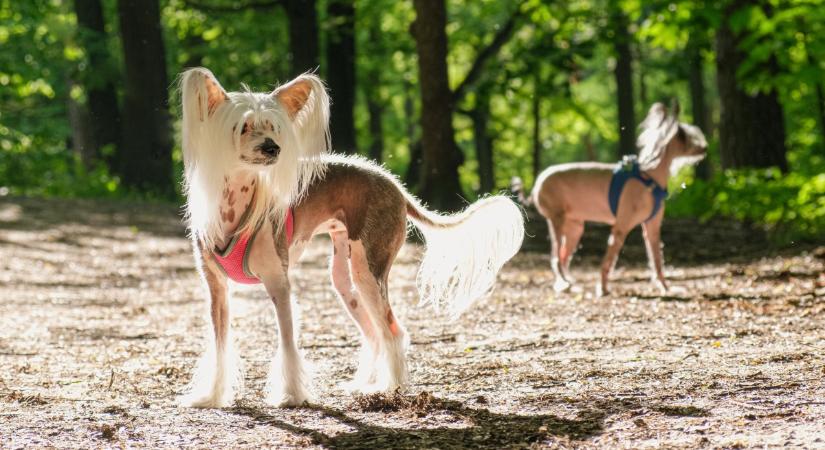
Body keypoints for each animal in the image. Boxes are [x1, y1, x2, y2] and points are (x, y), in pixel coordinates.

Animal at [178, 67, 524, 408]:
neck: (235, 206)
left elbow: (288, 344)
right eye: (243, 126)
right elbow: (220, 347)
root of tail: (396, 186)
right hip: (345, 280)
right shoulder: (217, 291)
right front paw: (211, 396)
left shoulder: (279, 283)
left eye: (274, 127)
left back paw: (390, 388)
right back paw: (363, 384)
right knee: (373, 333)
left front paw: (292, 396)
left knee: (392, 331)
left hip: (368, 270)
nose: (272, 148)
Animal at [512, 103, 704, 298]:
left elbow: (657, 260)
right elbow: (609, 261)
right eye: (683, 135)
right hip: (557, 220)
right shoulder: (620, 228)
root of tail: (537, 184)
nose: (704, 147)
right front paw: (602, 288)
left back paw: (568, 283)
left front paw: (665, 288)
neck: (649, 175)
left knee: (564, 256)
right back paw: (564, 283)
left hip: (575, 227)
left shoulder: (652, 228)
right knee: (556, 257)